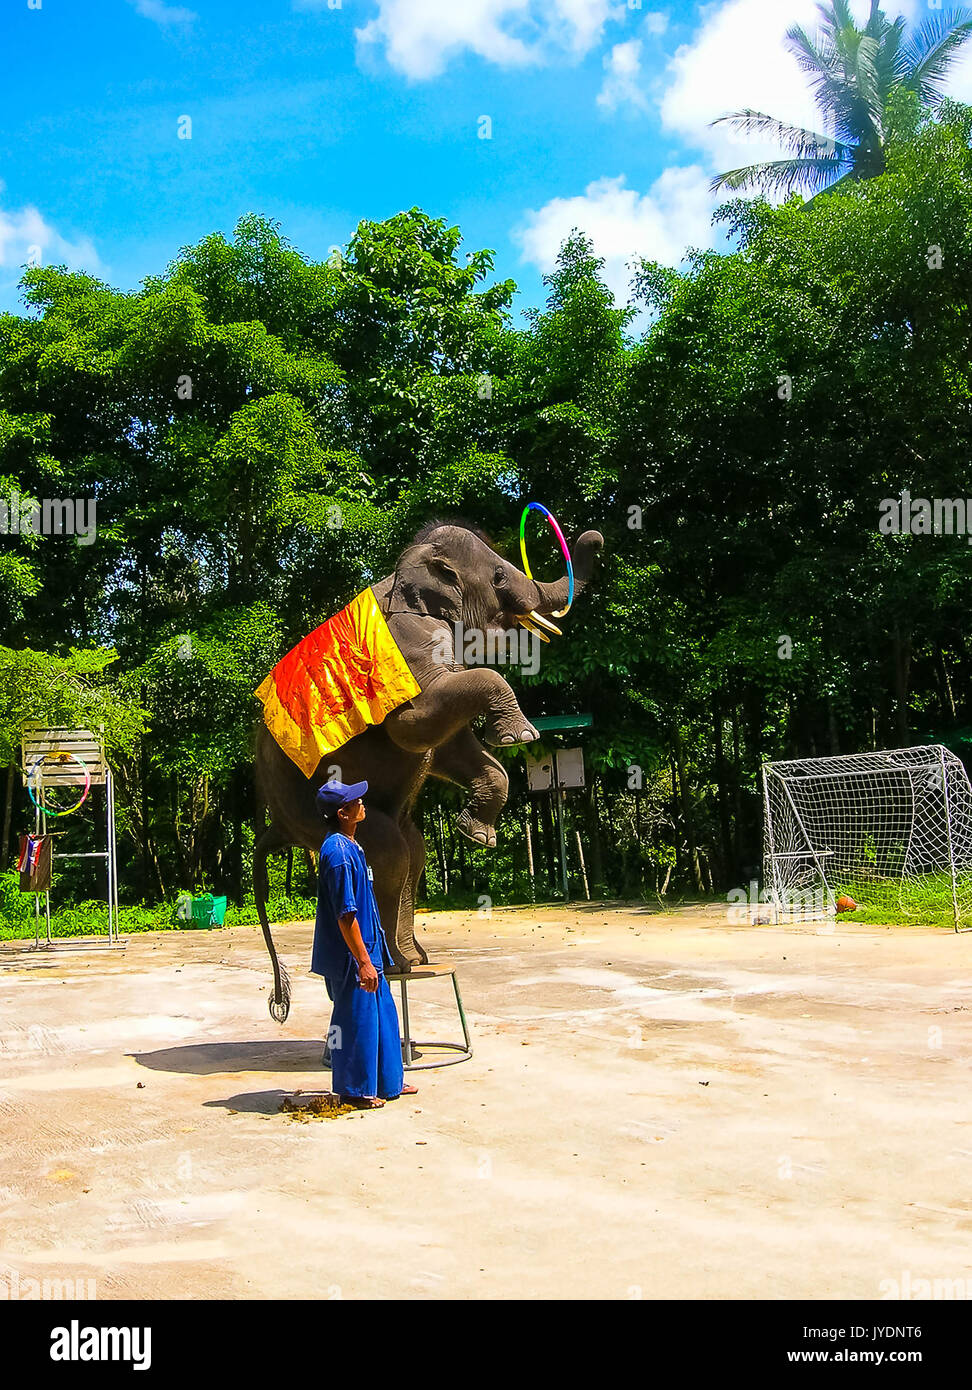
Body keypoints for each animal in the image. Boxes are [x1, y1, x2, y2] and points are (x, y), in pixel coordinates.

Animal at [253, 522, 600, 1023]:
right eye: (498, 576)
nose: (595, 537)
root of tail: (276, 823)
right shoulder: (407, 644)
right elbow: (414, 726)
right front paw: (521, 737)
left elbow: (452, 746)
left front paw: (478, 835)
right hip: (306, 805)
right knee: (392, 853)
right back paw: (395, 965)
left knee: (414, 853)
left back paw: (417, 961)